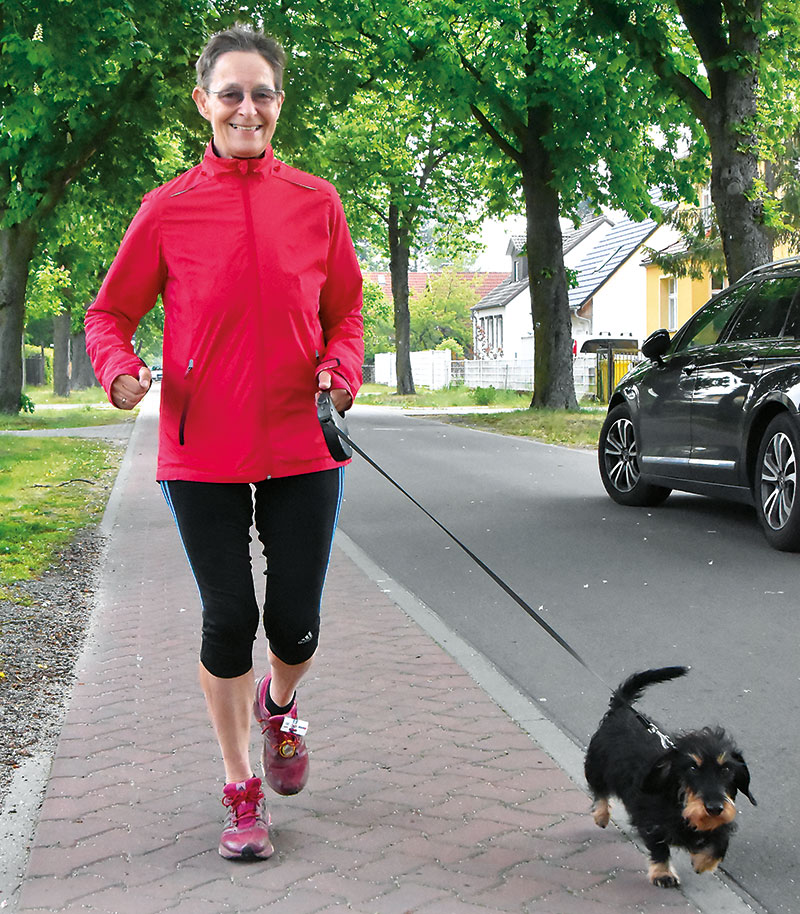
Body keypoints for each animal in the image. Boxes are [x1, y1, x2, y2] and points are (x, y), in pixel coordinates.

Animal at [580, 664, 756, 884]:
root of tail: (621, 709)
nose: (714, 808)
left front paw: (703, 862)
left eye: (726, 769)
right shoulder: (651, 820)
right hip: (596, 768)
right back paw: (601, 815)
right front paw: (663, 873)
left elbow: (720, 842)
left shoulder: (720, 824)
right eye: (692, 768)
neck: (680, 802)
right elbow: (659, 847)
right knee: (599, 792)